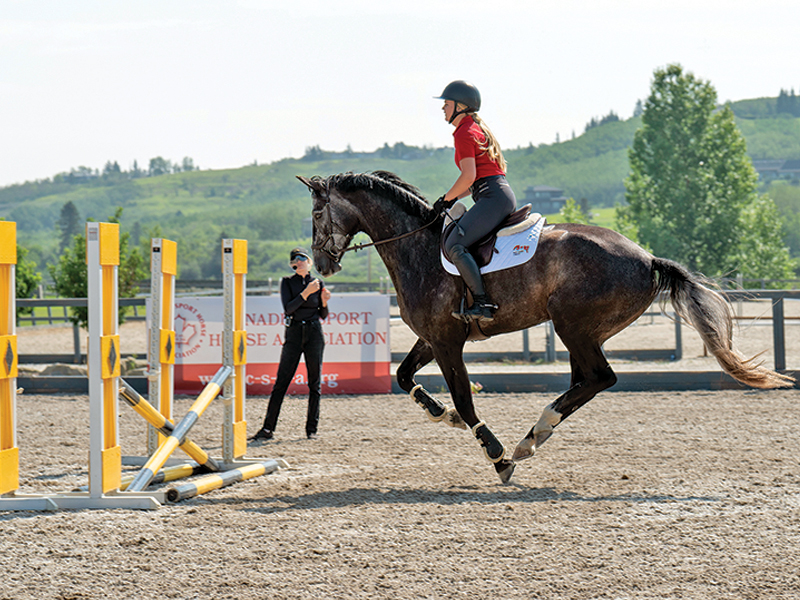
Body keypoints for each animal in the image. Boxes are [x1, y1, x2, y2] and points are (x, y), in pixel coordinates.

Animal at [298, 170, 794, 483]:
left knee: (599, 377)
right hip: (581, 331)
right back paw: (536, 434)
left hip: (573, 325)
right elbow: (404, 378)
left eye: (318, 215)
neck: (417, 248)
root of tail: (646, 258)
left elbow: (463, 396)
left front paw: (495, 455)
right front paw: (445, 417)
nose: (321, 263)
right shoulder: (432, 337)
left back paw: (527, 439)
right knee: (586, 380)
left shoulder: (446, 342)